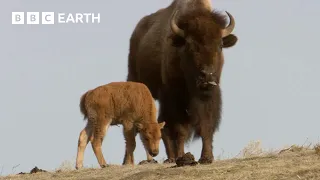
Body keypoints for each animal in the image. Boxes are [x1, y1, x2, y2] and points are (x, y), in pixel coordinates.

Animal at [126, 0, 239, 165]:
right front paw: (182, 157)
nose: (207, 75)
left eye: (220, 45)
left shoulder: (208, 97)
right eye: (190, 46)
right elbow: (180, 130)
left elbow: (206, 125)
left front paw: (206, 158)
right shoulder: (174, 98)